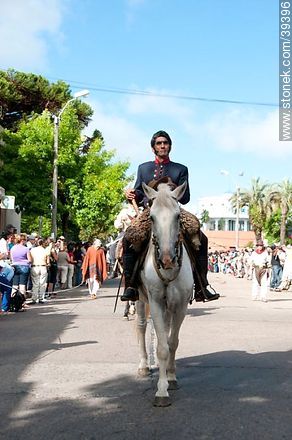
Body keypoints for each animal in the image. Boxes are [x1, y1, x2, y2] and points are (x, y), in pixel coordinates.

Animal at [136, 180, 194, 408]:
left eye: (177, 216)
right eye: (151, 217)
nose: (167, 260)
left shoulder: (180, 305)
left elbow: (172, 342)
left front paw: (171, 377)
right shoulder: (156, 303)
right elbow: (161, 347)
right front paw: (161, 391)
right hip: (140, 300)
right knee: (141, 327)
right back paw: (143, 365)